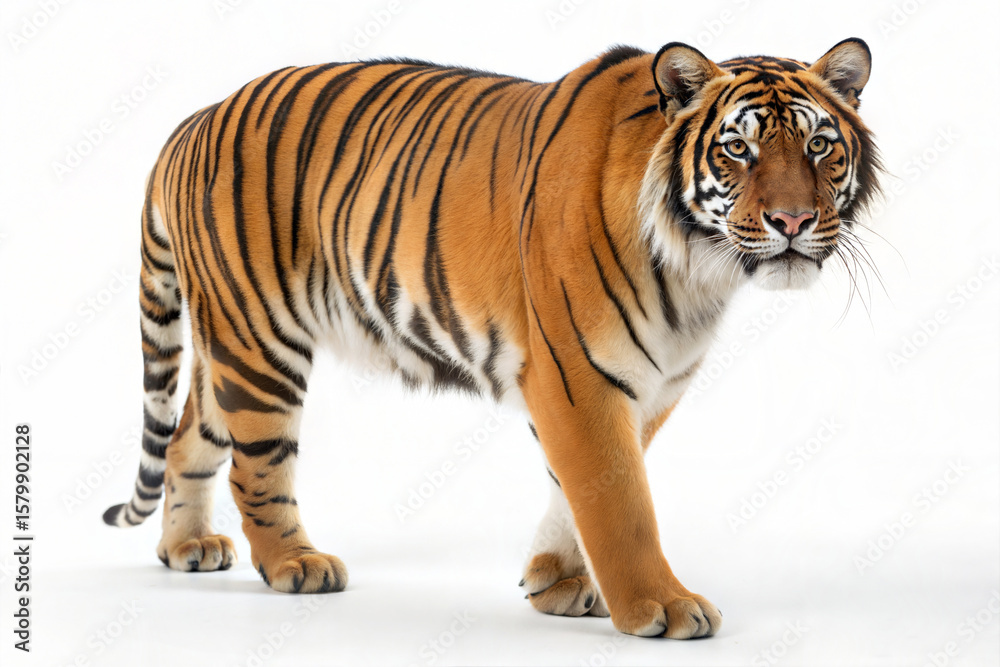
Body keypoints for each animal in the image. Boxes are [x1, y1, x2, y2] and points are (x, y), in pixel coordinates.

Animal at [104, 37, 881, 639]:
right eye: (738, 150)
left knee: (188, 437)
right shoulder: (578, 375)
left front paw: (554, 580)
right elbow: (619, 500)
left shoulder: (652, 385)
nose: (792, 221)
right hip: (260, 343)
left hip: (227, 345)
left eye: (819, 145)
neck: (698, 272)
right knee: (255, 464)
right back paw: (295, 562)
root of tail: (195, 120)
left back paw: (186, 547)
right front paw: (658, 605)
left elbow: (577, 488)